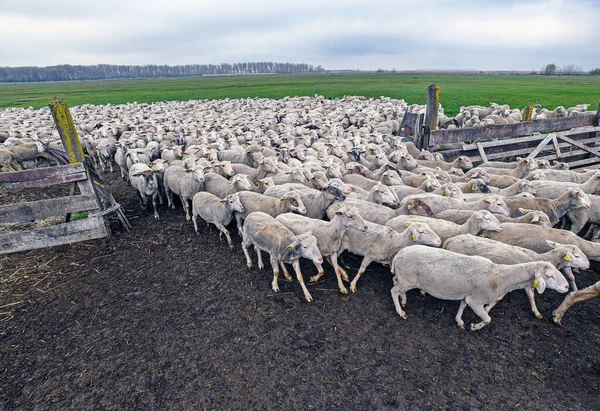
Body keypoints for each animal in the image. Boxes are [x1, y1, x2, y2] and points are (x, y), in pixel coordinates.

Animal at [390, 248, 568, 332]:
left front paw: (460, 321)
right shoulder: (476, 301)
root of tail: (398, 254)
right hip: (408, 280)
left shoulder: (468, 296)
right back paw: (400, 311)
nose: (567, 286)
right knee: (393, 290)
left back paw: (404, 300)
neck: (500, 277)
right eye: (549, 276)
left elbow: (462, 306)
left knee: (396, 284)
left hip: (404, 278)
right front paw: (475, 326)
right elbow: (488, 319)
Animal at [442, 237, 588, 318]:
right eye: (576, 256)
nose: (589, 264)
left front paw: (536, 312)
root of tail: (451, 240)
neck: (540, 257)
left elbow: (531, 297)